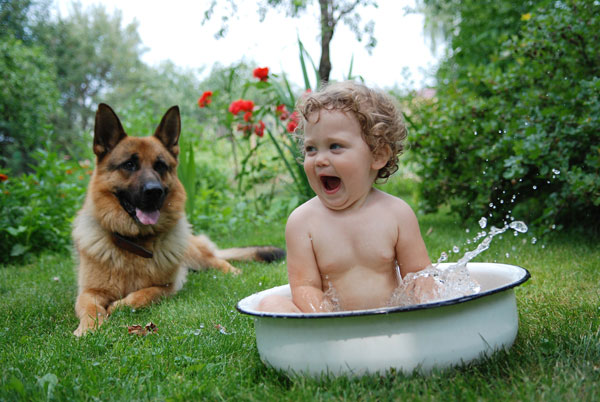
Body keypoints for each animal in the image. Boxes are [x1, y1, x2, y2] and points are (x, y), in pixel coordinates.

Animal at [72, 103, 284, 336]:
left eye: (160, 166)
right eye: (129, 165)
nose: (154, 191)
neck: (135, 243)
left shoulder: (168, 287)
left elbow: (141, 295)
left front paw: (117, 306)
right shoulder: (88, 292)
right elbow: (91, 308)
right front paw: (88, 329)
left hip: (197, 256)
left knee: (218, 260)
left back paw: (235, 272)